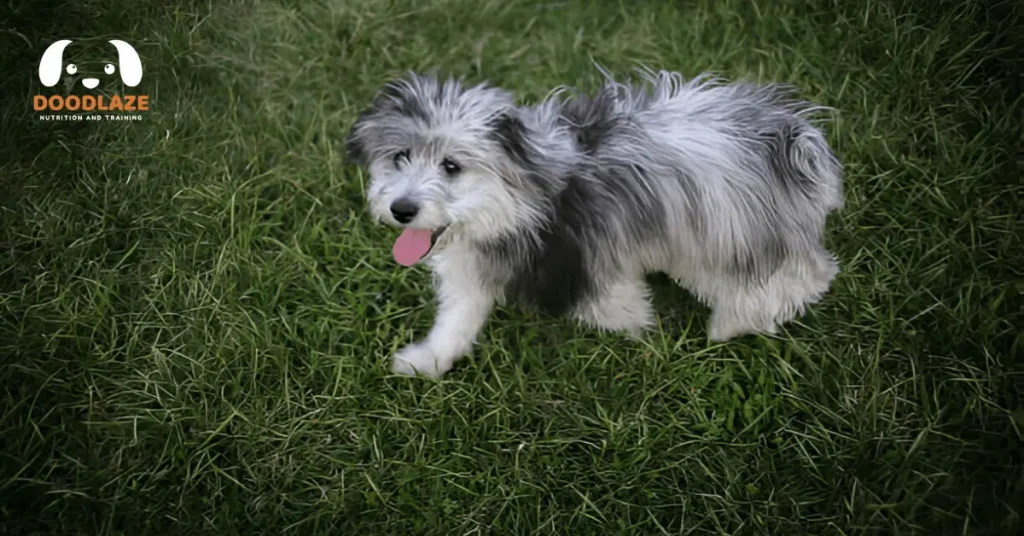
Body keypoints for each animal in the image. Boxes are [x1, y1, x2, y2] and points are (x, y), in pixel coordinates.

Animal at [348, 67, 843, 377]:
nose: (401, 209)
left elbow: (616, 308)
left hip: (733, 234)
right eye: (400, 157)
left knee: (805, 275)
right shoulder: (474, 268)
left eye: (451, 166)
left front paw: (642, 334)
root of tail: (790, 138)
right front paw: (430, 360)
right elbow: (457, 319)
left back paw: (736, 322)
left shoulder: (589, 259)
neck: (521, 199)